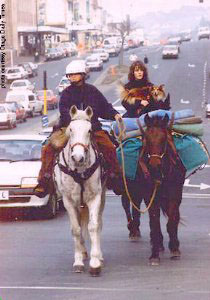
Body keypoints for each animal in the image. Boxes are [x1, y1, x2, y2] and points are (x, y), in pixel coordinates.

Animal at [54, 105, 106, 276]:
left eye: (89, 130)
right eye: (70, 129)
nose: (78, 157)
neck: (79, 170)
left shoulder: (95, 197)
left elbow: (93, 226)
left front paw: (95, 263)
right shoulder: (68, 200)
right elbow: (76, 229)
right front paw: (78, 262)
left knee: (97, 223)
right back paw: (83, 252)